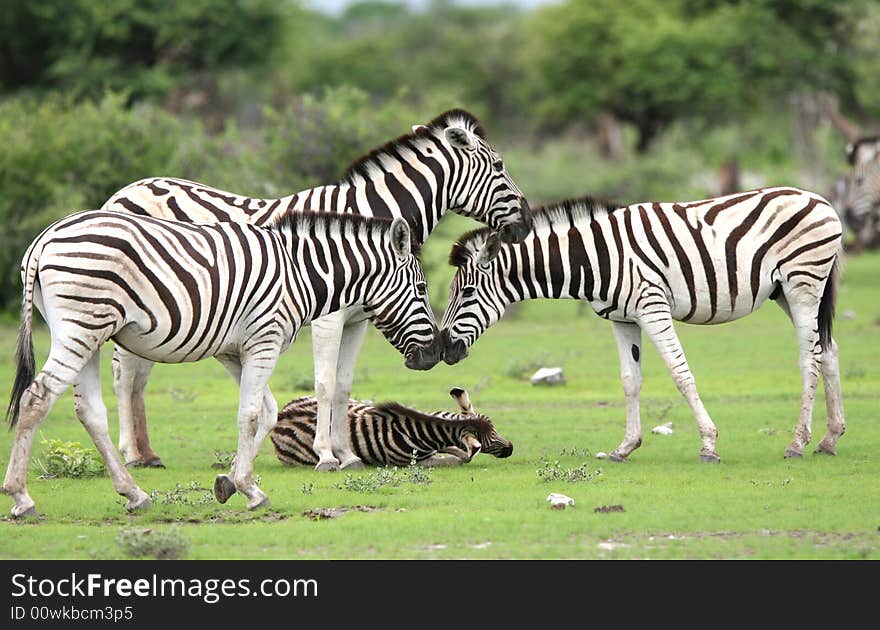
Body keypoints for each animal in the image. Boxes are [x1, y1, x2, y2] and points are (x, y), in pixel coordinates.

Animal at [272, 386, 512, 470]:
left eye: (496, 430)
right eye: (490, 441)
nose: (511, 448)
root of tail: (282, 414)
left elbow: (456, 451)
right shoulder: (415, 462)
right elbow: (457, 459)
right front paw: (462, 456)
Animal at [438, 188, 844, 464]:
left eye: (468, 292)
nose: (444, 349)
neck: (592, 258)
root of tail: (819, 199)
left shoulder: (653, 307)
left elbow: (680, 373)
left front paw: (708, 443)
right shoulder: (622, 318)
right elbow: (629, 381)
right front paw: (625, 447)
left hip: (802, 284)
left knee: (810, 358)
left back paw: (797, 443)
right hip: (785, 292)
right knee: (828, 351)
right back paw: (829, 439)